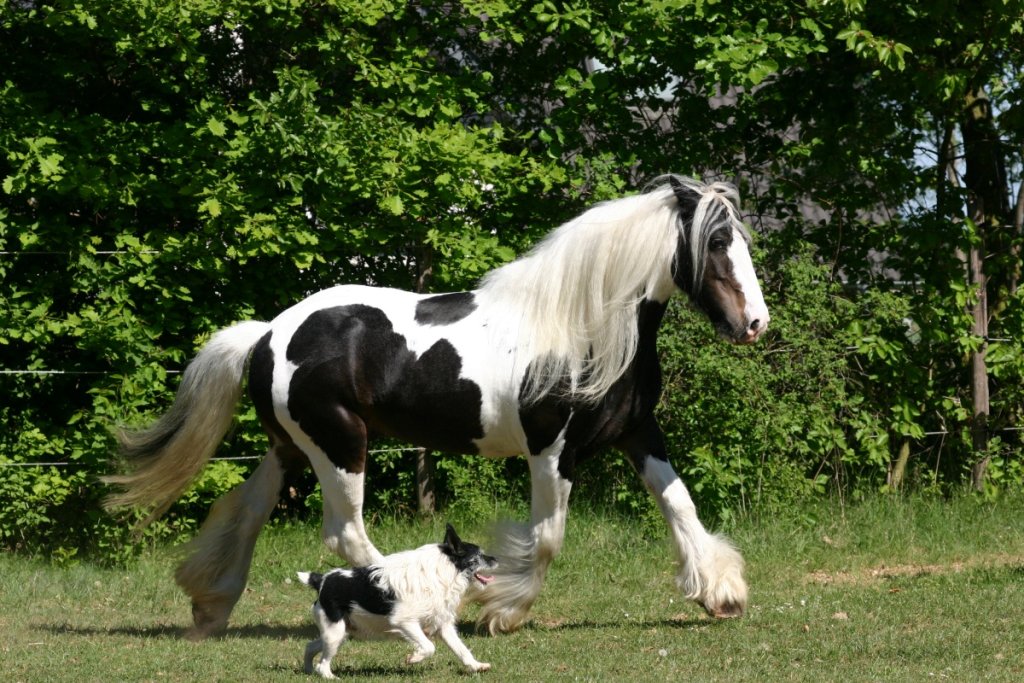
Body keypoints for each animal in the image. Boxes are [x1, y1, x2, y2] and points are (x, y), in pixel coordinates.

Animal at [104, 175, 769, 639]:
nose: (754, 324)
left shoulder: (638, 432)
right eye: (715, 241)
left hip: (292, 447)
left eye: (740, 238)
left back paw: (210, 607)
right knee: (346, 534)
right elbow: (547, 538)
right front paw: (503, 610)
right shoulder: (552, 450)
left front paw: (721, 594)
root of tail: (267, 334)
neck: (582, 329)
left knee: (246, 511)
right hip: (340, 447)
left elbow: (681, 507)